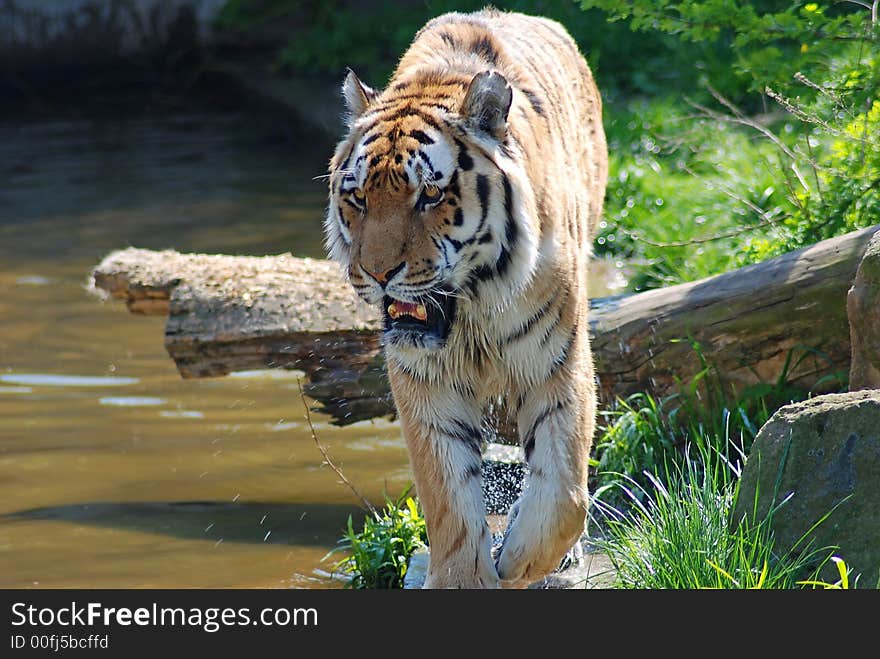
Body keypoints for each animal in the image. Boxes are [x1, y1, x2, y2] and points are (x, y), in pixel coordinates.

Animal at [324, 9, 604, 588]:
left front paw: (520, 560)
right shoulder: (424, 379)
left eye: (429, 195)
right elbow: (447, 494)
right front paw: (464, 577)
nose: (377, 273)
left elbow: (564, 489)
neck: (471, 308)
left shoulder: (555, 361)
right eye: (357, 196)